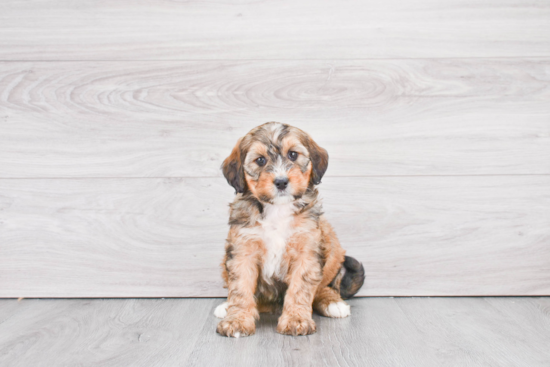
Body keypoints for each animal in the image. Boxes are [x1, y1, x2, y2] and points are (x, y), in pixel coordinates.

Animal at [217, 122, 366, 338]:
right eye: (260, 160)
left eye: (293, 155)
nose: (281, 181)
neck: (277, 210)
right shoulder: (243, 251)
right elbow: (240, 289)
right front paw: (237, 320)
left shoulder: (307, 251)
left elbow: (300, 289)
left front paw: (296, 319)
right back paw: (226, 306)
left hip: (333, 250)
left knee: (325, 286)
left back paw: (332, 303)